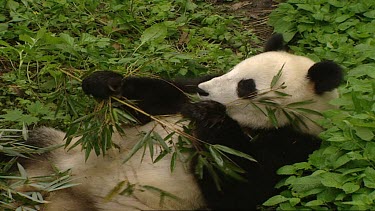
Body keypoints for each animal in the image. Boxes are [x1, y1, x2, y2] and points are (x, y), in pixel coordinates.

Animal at [21, 33, 344, 210]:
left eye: (246, 86)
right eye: (232, 69)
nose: (204, 92)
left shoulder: (292, 147)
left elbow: (238, 189)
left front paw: (211, 118)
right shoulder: (180, 98)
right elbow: (155, 100)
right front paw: (106, 83)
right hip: (55, 151)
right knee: (25, 145)